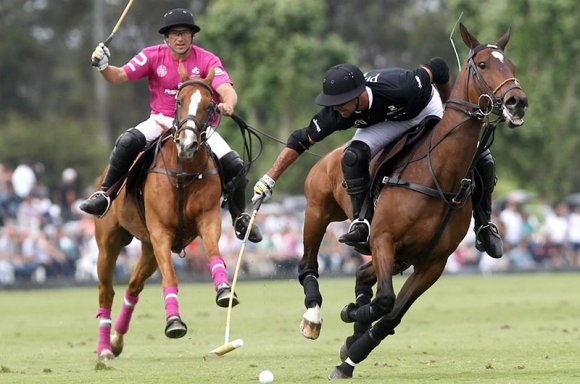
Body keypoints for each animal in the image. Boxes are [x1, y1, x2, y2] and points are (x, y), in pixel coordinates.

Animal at [93, 65, 233, 360]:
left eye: (210, 105)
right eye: (179, 102)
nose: (187, 144)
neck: (183, 172)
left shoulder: (208, 219)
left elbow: (214, 253)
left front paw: (225, 291)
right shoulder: (160, 233)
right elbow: (171, 276)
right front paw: (174, 322)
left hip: (148, 249)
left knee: (133, 287)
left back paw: (117, 341)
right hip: (109, 243)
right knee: (106, 292)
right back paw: (104, 350)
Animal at [296, 24, 528, 378]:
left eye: (512, 64)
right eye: (483, 64)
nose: (518, 102)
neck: (438, 175)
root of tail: (331, 154)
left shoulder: (433, 263)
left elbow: (392, 312)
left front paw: (352, 352)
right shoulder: (383, 239)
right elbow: (385, 301)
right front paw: (351, 318)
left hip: (401, 255)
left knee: (363, 275)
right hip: (317, 210)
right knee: (309, 263)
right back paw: (314, 315)